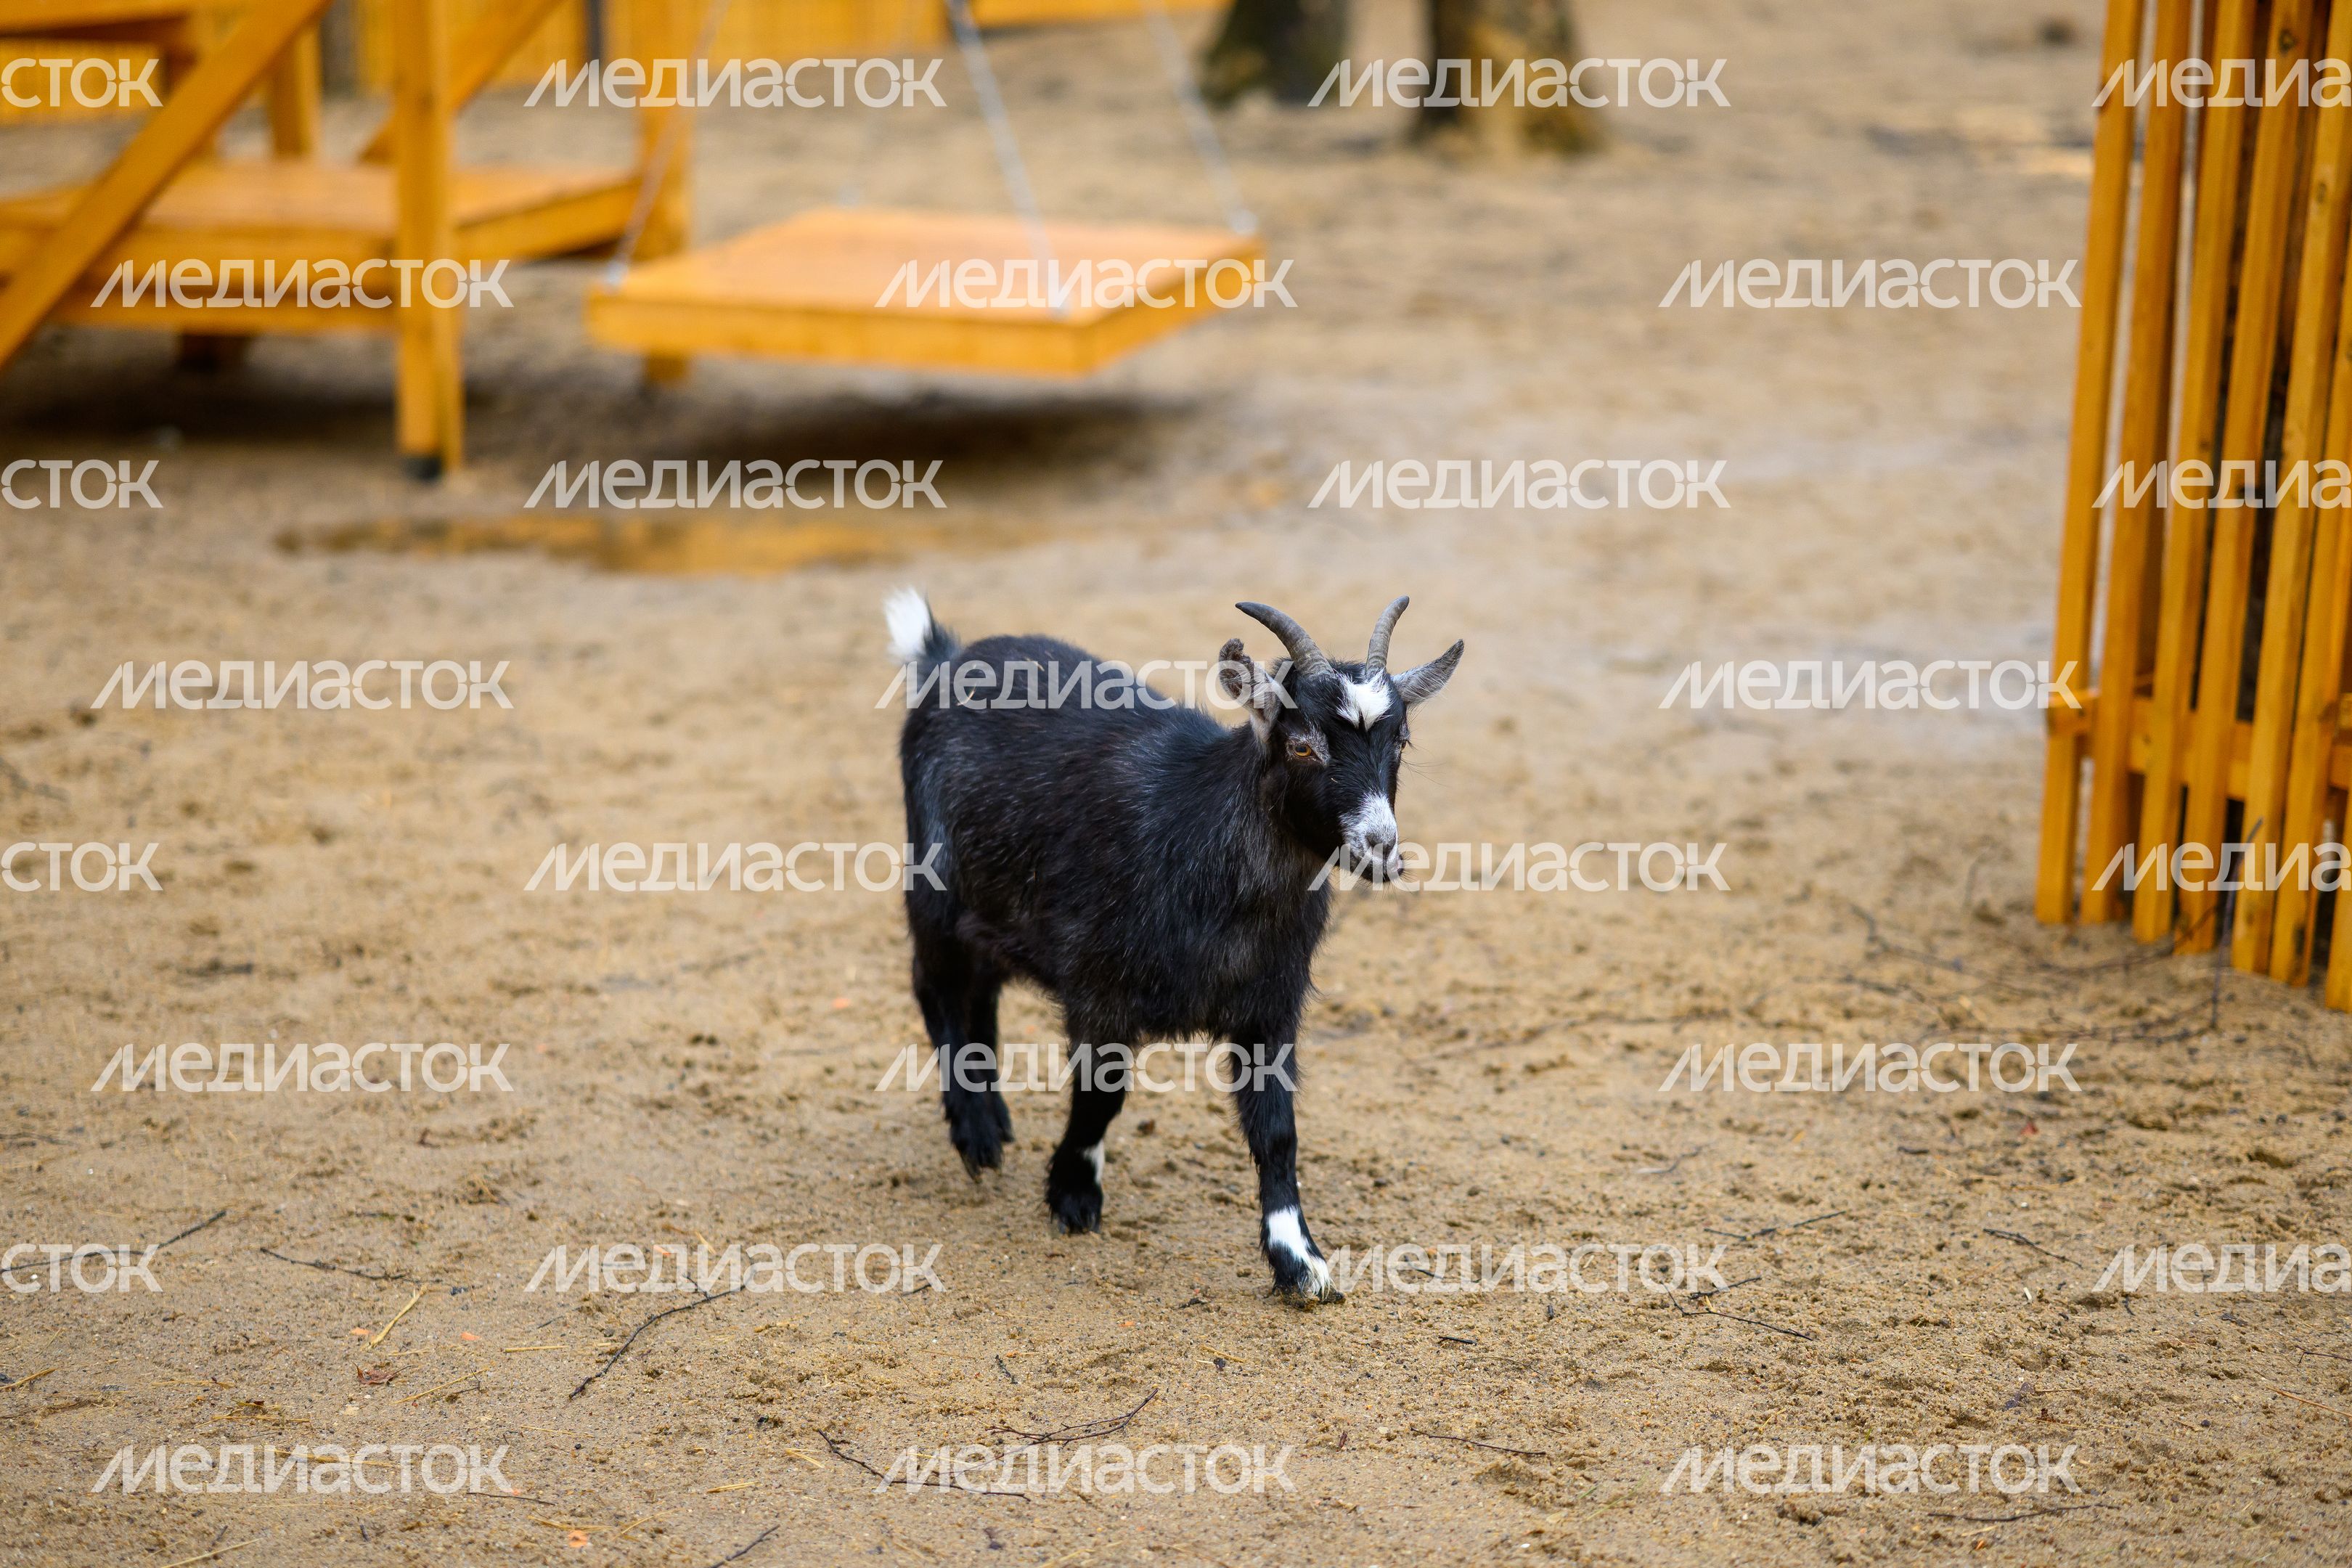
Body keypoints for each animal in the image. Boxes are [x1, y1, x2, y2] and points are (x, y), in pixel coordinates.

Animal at [886, 590, 1462, 1302]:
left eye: (1401, 741)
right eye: (1302, 745)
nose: (1381, 848)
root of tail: (943, 658)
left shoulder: (1271, 1007)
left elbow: (1277, 1132)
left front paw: (1300, 1262)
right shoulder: (1098, 988)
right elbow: (1101, 1097)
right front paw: (1073, 1195)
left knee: (981, 992)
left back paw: (992, 1117)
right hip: (934, 886)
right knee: (935, 985)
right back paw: (974, 1133)